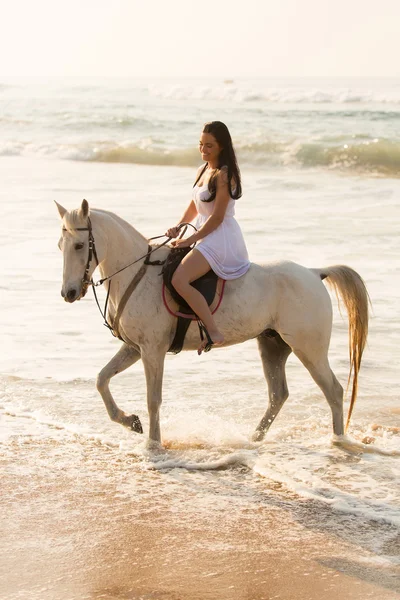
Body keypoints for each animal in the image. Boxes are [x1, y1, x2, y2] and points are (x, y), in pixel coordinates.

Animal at [55, 199, 368, 442]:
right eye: (61, 245)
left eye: (80, 245)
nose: (68, 293)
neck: (136, 274)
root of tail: (314, 273)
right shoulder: (135, 347)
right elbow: (102, 379)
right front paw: (130, 421)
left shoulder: (153, 351)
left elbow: (153, 399)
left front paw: (153, 445)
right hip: (273, 345)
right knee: (278, 395)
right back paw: (254, 439)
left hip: (309, 349)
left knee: (333, 391)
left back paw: (338, 441)